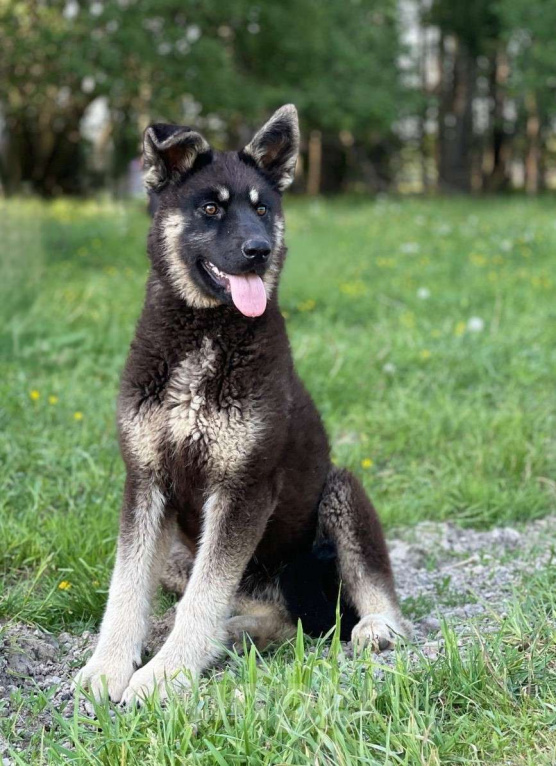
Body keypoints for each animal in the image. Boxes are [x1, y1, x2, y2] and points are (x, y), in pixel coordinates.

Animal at [75, 105, 408, 704]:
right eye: (210, 208)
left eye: (262, 210)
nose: (260, 251)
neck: (205, 332)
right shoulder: (146, 479)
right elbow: (127, 586)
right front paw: (108, 665)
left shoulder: (244, 487)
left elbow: (206, 595)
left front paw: (165, 675)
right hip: (182, 552)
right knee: (261, 614)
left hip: (341, 491)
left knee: (359, 592)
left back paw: (374, 626)